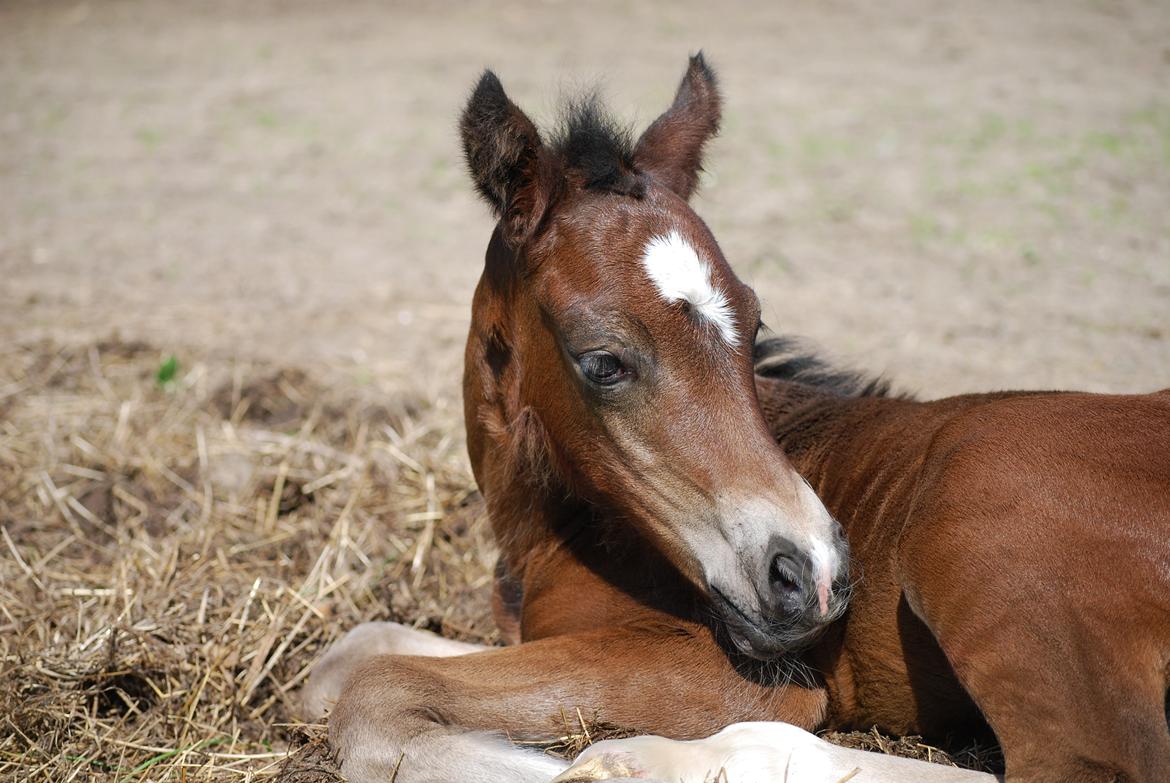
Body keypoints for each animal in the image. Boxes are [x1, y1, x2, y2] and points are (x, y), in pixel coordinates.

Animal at [304, 56, 1170, 781]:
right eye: (603, 361)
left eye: (756, 328)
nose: (813, 572)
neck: (559, 533)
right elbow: (347, 657)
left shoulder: (727, 669)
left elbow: (376, 690)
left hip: (976, 532)